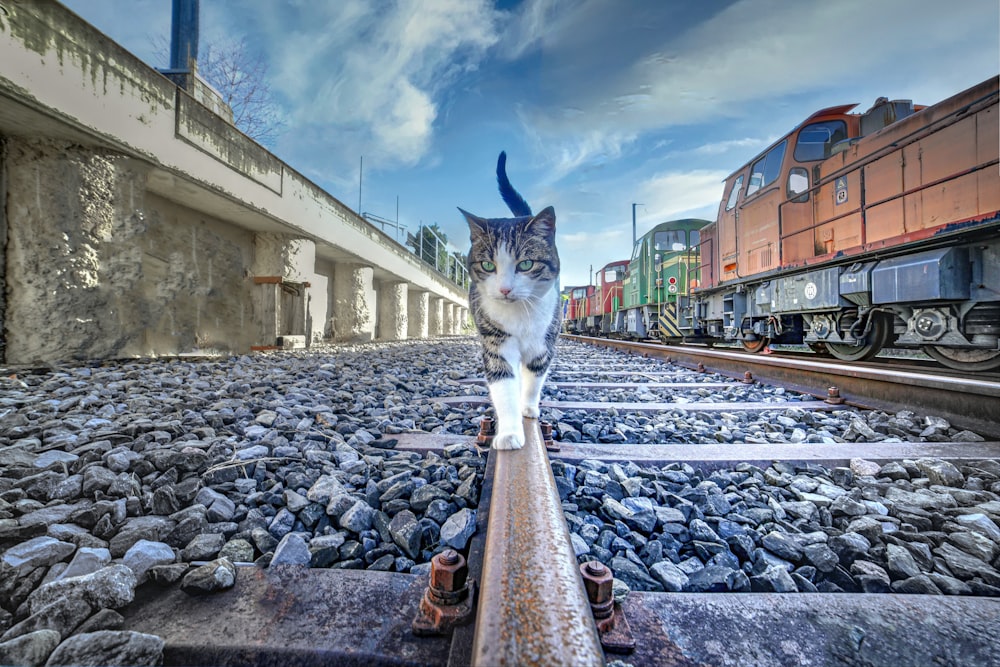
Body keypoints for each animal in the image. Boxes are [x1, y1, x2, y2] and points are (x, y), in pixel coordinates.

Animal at [460, 153, 564, 452]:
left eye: (526, 264)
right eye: (487, 265)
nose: (505, 289)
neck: (519, 314)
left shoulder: (544, 342)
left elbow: (534, 378)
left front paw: (528, 408)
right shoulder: (496, 341)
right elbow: (503, 384)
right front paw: (508, 433)